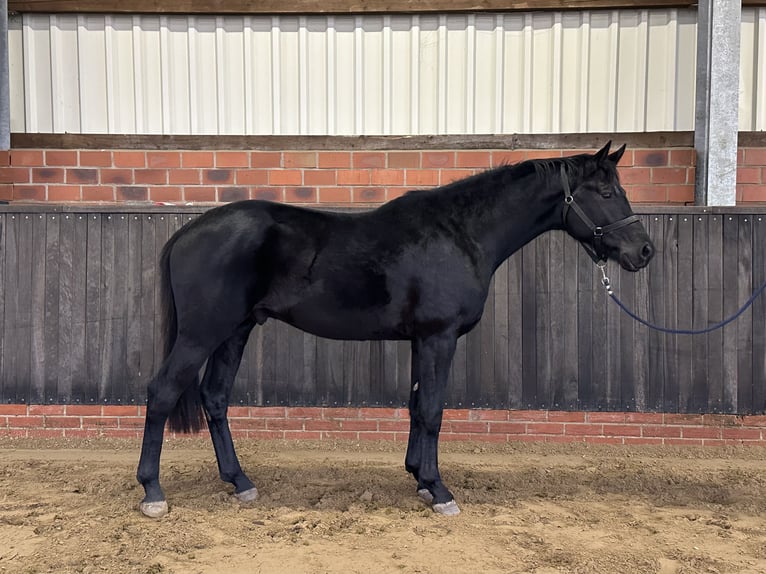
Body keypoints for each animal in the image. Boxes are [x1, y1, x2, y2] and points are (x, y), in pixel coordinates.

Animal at [136, 142, 656, 520]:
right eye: (606, 194)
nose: (644, 251)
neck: (460, 233)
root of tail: (188, 232)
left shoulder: (421, 340)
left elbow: (415, 405)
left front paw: (419, 479)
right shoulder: (439, 337)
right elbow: (432, 411)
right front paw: (440, 490)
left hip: (236, 330)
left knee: (215, 397)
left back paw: (240, 483)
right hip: (202, 333)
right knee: (162, 391)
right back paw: (153, 492)